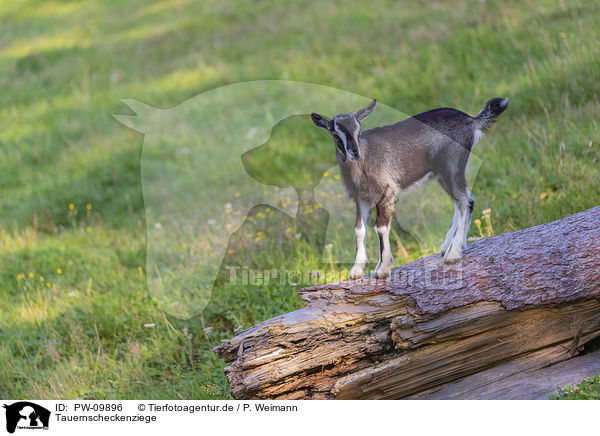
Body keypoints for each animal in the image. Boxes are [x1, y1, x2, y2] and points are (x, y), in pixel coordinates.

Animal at [312, 97, 508, 278]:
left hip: (452, 166)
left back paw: (453, 254)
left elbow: (380, 228)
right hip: (444, 174)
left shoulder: (387, 192)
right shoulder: (361, 198)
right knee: (466, 200)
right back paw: (449, 246)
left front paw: (382, 269)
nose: (354, 152)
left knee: (464, 201)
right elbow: (360, 230)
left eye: (358, 131)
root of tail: (471, 120)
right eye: (336, 135)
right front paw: (356, 271)